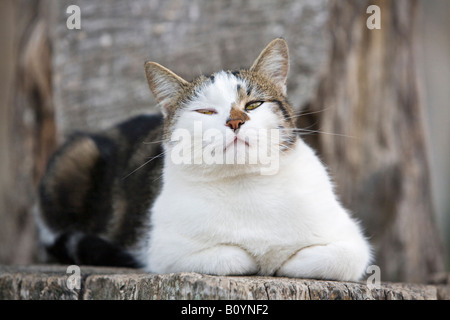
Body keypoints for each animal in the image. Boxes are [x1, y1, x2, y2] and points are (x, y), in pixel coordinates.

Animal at [37, 38, 370, 282]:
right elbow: (233, 256)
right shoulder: (164, 250)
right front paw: (261, 258)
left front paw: (279, 259)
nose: (235, 121)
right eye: (206, 111)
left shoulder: (353, 244)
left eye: (254, 104)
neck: (246, 185)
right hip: (75, 156)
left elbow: (331, 259)